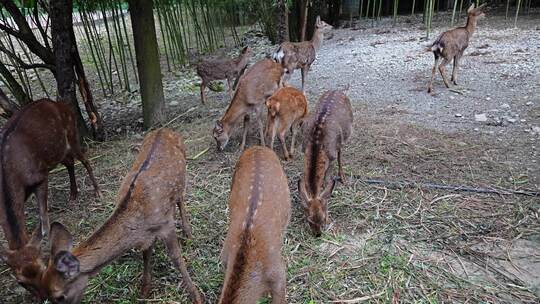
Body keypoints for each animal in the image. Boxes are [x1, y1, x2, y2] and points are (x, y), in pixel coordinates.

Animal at [0, 99, 100, 300]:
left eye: (44, 266)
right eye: (20, 282)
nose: (44, 296)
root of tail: (60, 103)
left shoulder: (40, 177)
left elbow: (44, 222)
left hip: (72, 134)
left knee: (84, 159)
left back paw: (97, 191)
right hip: (58, 151)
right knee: (69, 162)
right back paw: (73, 194)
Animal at [37, 129, 202, 304]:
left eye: (59, 296)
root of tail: (164, 129)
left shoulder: (166, 225)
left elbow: (177, 259)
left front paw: (197, 296)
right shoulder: (148, 235)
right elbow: (146, 256)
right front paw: (144, 290)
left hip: (184, 170)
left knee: (181, 198)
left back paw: (188, 232)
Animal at [298, 90, 352, 238]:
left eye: (323, 218)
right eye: (309, 220)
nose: (318, 235)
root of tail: (339, 90)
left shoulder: (331, 156)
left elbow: (328, 181)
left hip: (346, 133)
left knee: (340, 152)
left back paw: (343, 178)